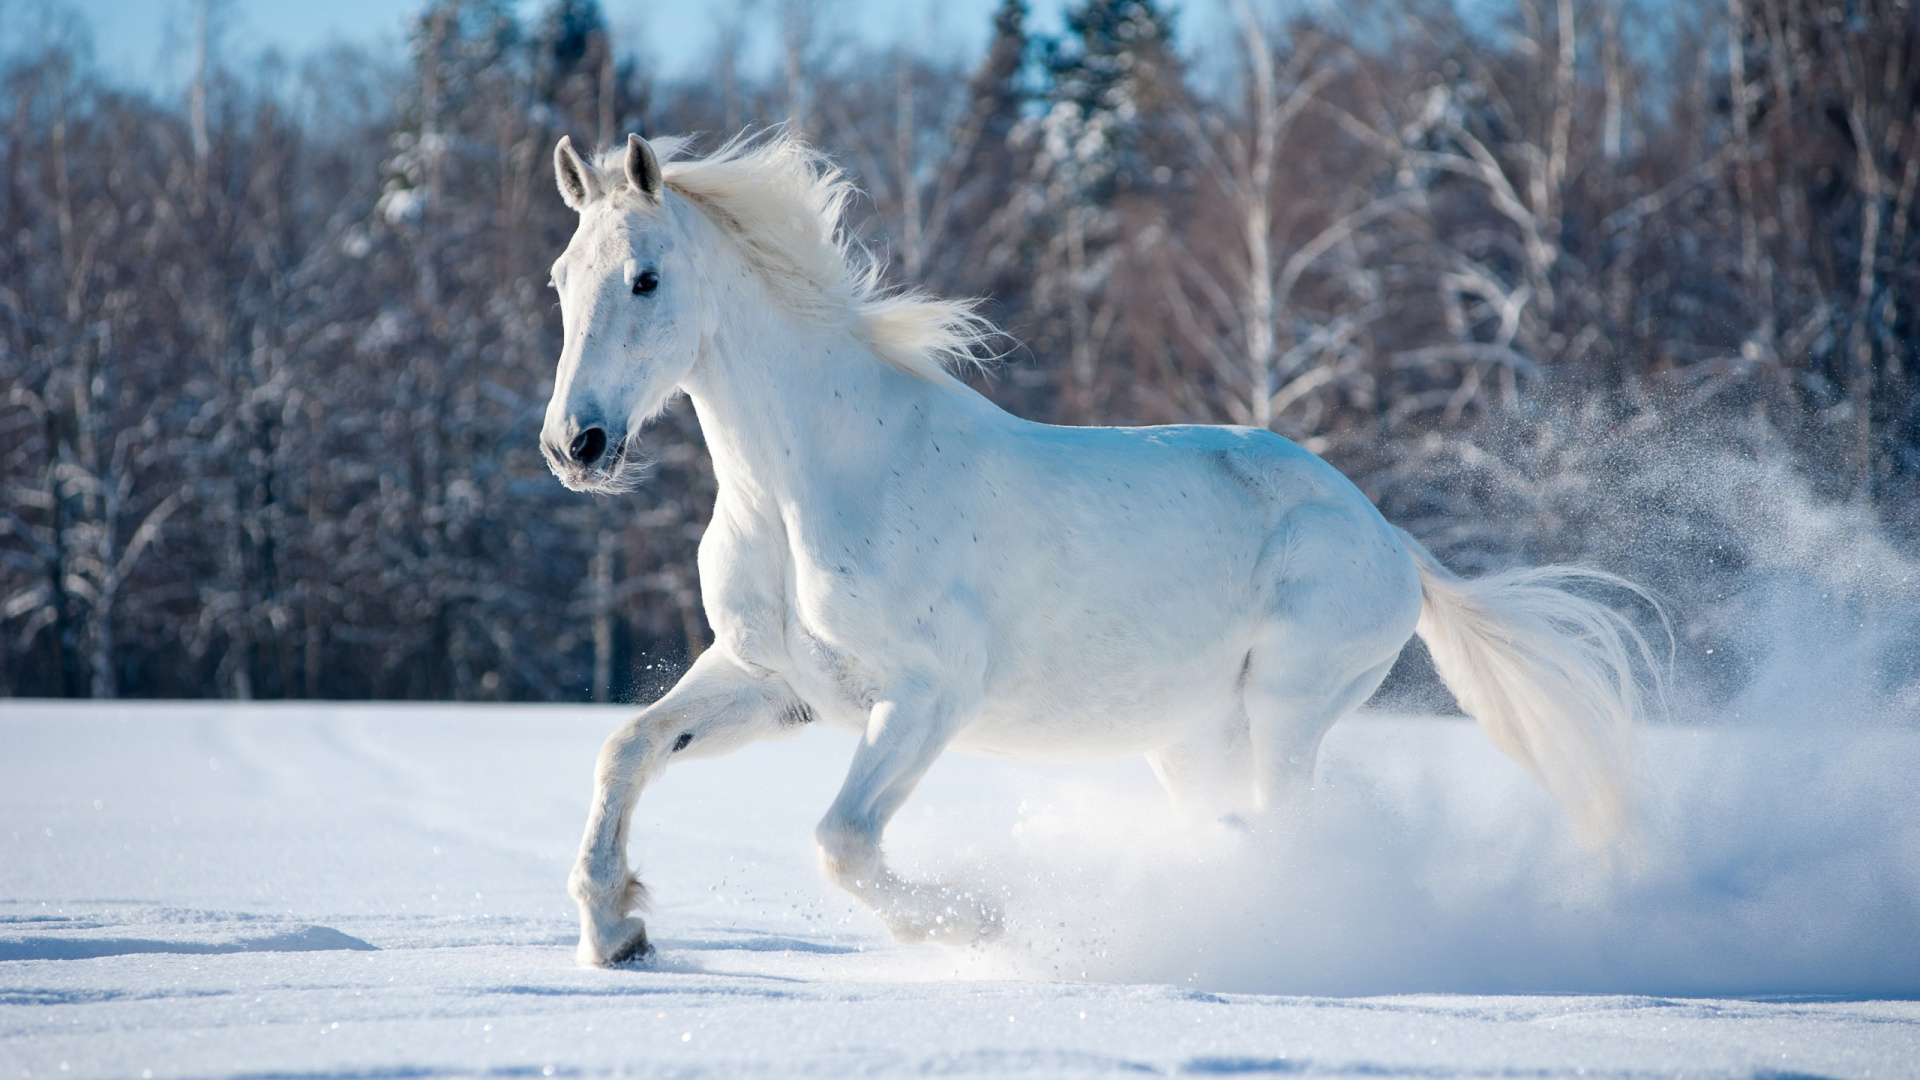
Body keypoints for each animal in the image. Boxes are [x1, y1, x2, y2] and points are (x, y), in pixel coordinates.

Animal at [539, 130, 1661, 967]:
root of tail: (1388, 537)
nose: (574, 445)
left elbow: (843, 842)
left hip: (1288, 708)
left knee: (1290, 832)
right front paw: (618, 930)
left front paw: (979, 922)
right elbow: (625, 749)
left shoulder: (929, 695)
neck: (810, 484)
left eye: (645, 278)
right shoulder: (773, 682)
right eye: (560, 278)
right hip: (1191, 739)